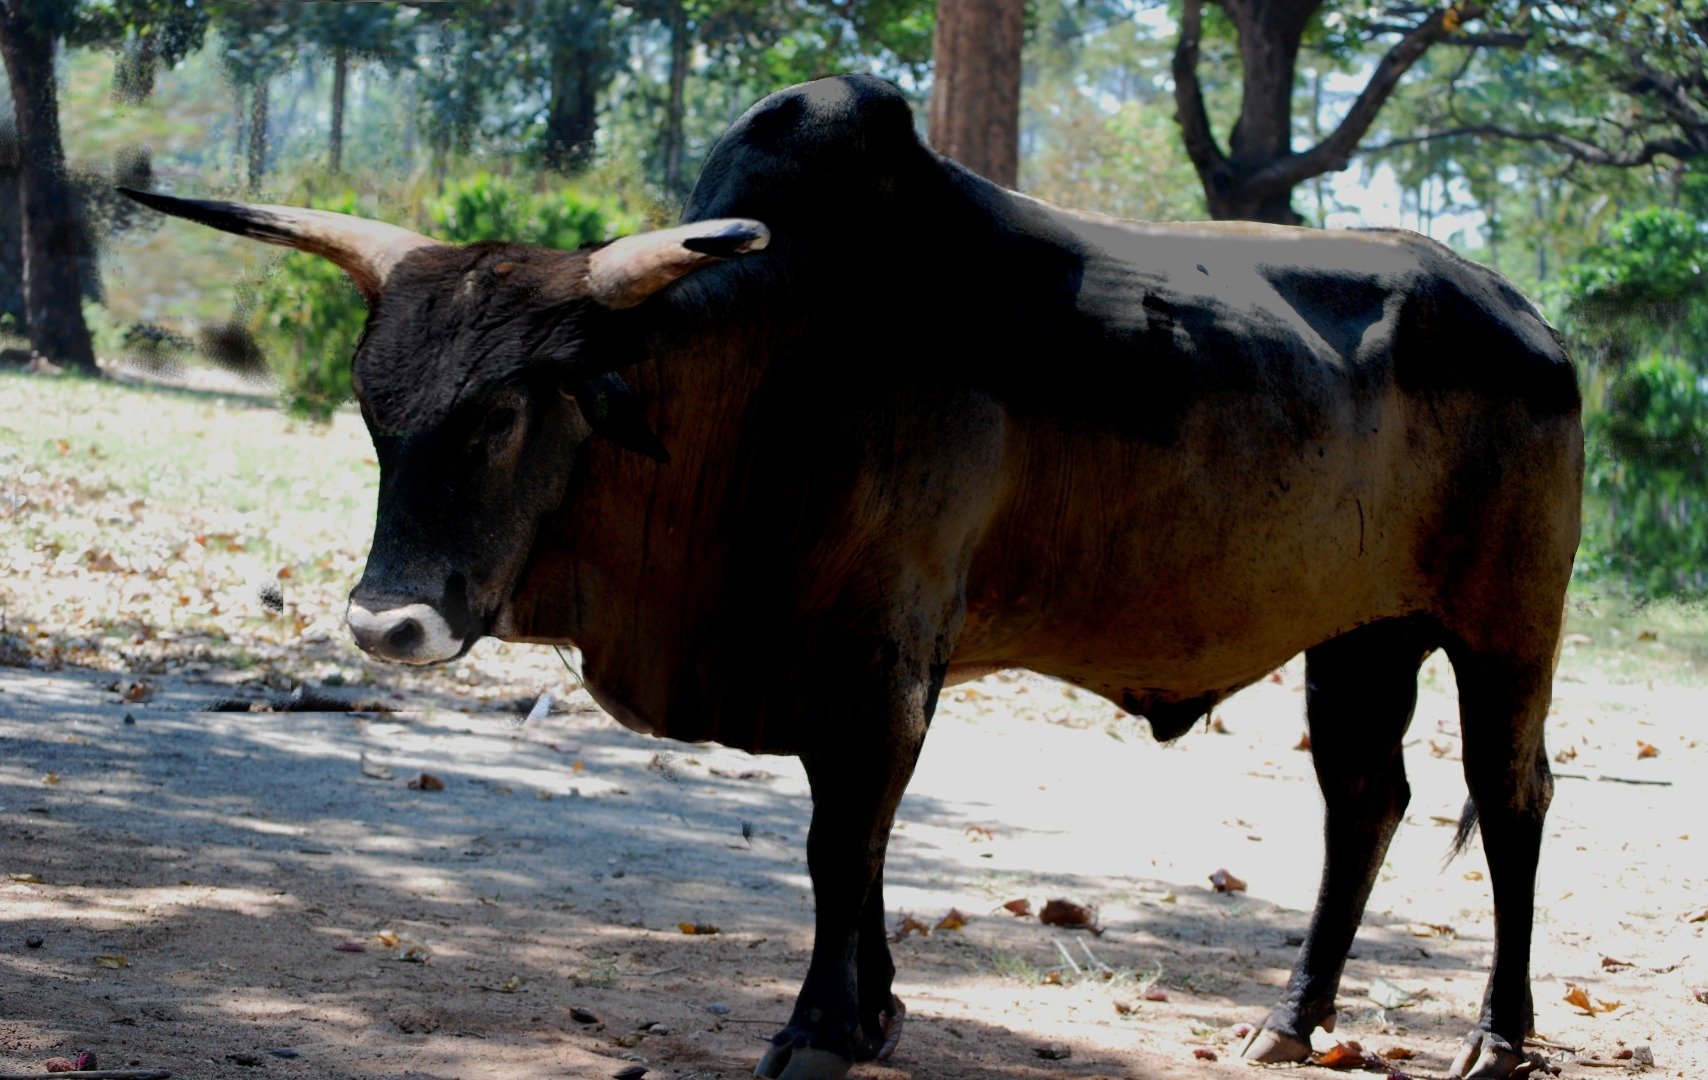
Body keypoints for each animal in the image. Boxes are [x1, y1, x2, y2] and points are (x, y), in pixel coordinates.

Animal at [126, 76, 1578, 1080]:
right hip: (1363, 632)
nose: (389, 622)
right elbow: (848, 849)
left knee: (1510, 801)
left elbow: (842, 841)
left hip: (1506, 627)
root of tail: (1523, 314)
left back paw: (1496, 1040)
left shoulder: (876, 662)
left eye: (504, 416)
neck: (761, 375)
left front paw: (825, 1028)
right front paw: (874, 1010)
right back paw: (1290, 1018)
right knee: (1362, 800)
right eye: (379, 411)